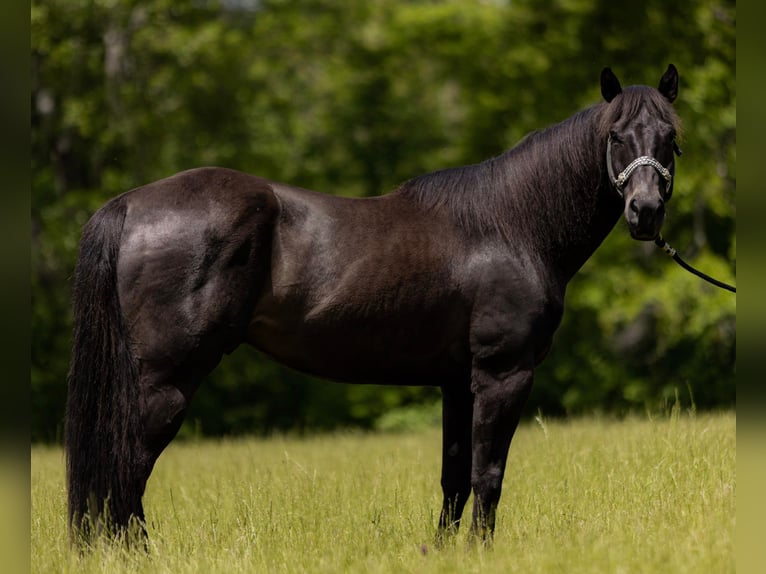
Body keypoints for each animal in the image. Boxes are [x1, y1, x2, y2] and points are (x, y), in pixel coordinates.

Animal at [66, 65, 684, 548]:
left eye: (671, 138)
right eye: (616, 136)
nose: (645, 211)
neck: (512, 226)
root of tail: (129, 205)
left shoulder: (457, 383)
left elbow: (454, 477)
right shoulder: (503, 376)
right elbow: (488, 473)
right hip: (167, 380)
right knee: (127, 468)